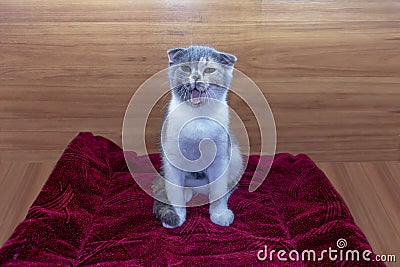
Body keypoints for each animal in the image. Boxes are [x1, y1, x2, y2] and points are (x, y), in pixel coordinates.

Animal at [152, 45, 242, 228]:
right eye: (186, 68)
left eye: (209, 70)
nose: (195, 78)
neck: (197, 117)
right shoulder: (172, 157)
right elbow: (175, 191)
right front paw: (177, 215)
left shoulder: (221, 158)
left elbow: (218, 190)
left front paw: (219, 213)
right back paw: (187, 192)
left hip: (236, 156)